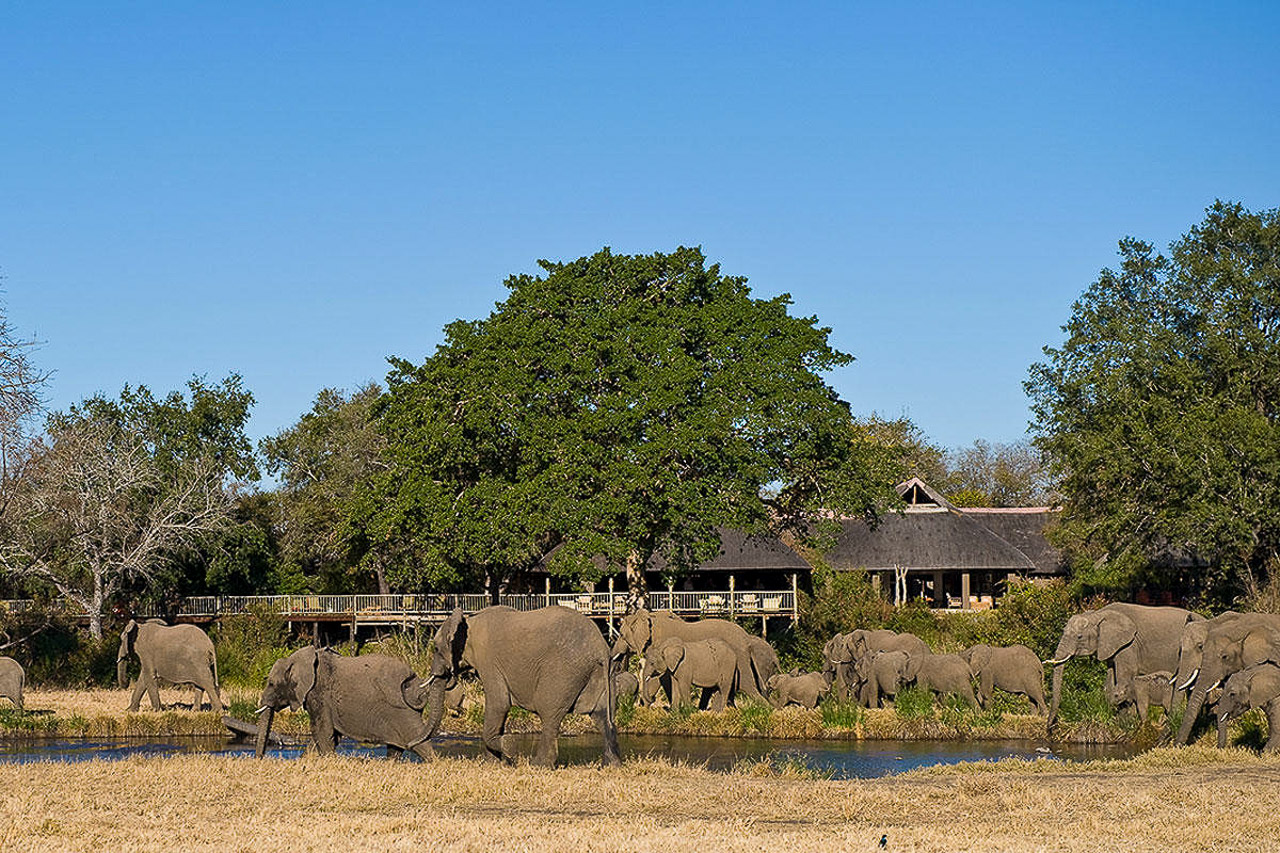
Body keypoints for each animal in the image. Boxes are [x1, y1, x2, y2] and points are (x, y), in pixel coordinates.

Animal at [252, 645, 432, 758]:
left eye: (271, 684)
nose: (260, 759)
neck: (296, 659)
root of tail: (414, 681)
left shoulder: (319, 694)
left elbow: (322, 732)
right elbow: (325, 735)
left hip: (402, 711)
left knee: (420, 743)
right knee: (395, 749)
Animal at [424, 601, 619, 768]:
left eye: (436, 648)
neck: (468, 621)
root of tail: (601, 648)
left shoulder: (489, 662)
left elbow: (499, 704)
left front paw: (510, 746)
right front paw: (492, 764)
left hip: (564, 672)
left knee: (549, 713)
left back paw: (538, 765)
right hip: (602, 673)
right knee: (602, 716)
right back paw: (611, 765)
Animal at [614, 607, 762, 701]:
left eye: (621, 634)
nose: (651, 700)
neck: (649, 617)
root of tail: (747, 637)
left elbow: (662, 677)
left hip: (738, 656)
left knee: (745, 684)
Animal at [1039, 601, 1198, 727]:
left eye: (1079, 637)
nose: (1049, 726)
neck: (1098, 614)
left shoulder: (1129, 644)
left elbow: (1124, 674)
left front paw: (1125, 721)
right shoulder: (1110, 646)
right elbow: (1110, 675)